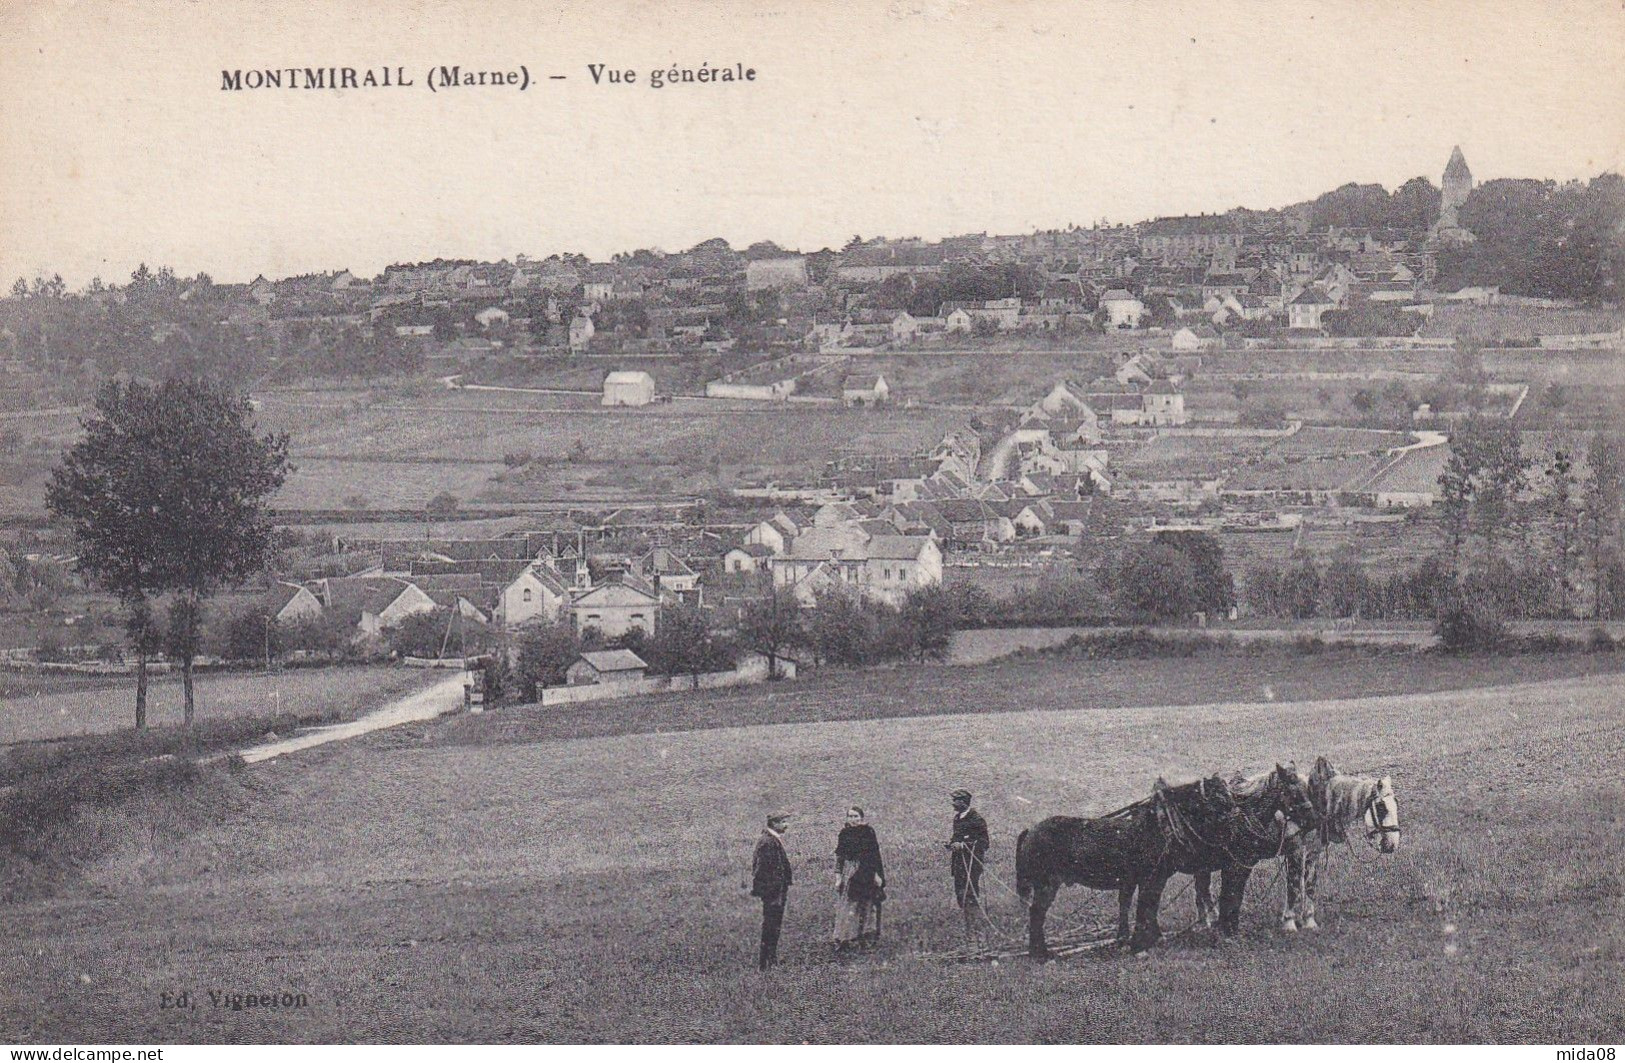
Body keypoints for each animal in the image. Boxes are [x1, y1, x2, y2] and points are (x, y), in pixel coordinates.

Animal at [1014, 767, 1319, 955]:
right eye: (1293, 790)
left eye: (1308, 788)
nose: (1312, 817)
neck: (1162, 825)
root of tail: (1030, 830)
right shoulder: (1231, 867)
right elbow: (1228, 898)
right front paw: (1227, 931)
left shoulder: (1162, 876)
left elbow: (1153, 907)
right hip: (1046, 885)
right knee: (1036, 914)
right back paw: (1042, 954)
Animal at [1189, 757, 1404, 936]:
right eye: (1382, 807)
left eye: (1395, 804)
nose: (1392, 844)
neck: (1317, 802)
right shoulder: (1295, 851)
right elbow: (1293, 886)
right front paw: (1289, 923)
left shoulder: (1314, 851)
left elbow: (1309, 885)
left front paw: (1309, 921)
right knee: (1202, 885)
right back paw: (1205, 921)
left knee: (1202, 885)